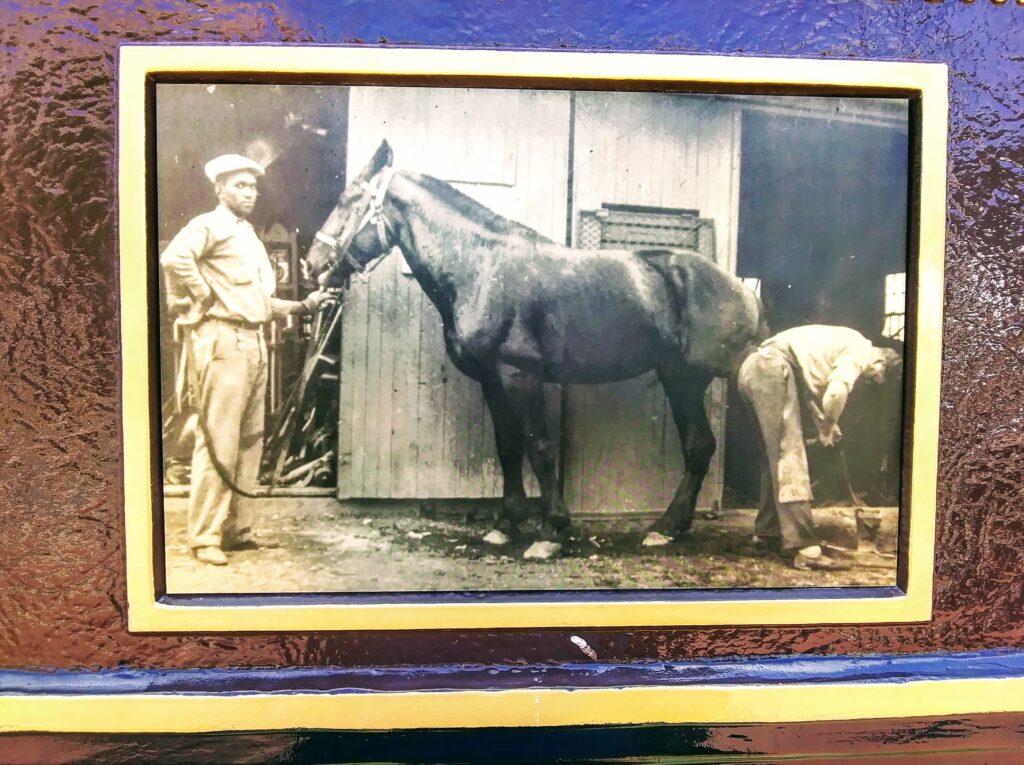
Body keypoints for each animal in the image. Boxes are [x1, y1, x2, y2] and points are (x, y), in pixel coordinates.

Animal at [307, 140, 765, 561]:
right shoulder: (491, 379)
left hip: (721, 374)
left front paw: (551, 532)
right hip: (681, 378)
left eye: (349, 201)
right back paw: (667, 528)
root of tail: (742, 289)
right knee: (700, 446)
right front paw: (506, 525)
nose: (314, 264)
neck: (482, 268)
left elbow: (539, 448)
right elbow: (508, 446)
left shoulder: (520, 375)